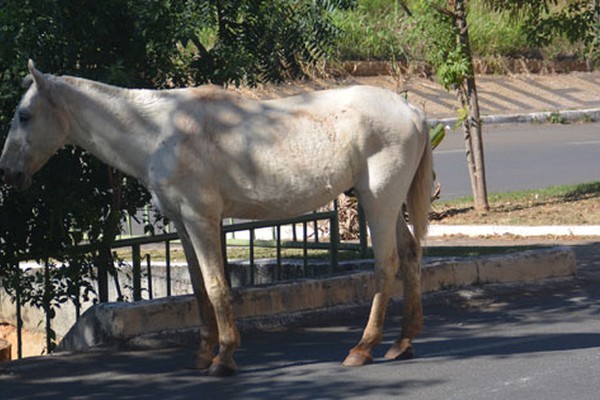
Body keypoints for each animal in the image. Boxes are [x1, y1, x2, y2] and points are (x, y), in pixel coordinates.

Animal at [0, 61, 432, 376]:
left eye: (24, 115)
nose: (8, 173)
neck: (159, 131)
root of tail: (411, 110)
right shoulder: (183, 223)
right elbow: (197, 288)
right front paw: (203, 353)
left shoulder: (202, 219)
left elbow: (216, 285)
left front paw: (224, 357)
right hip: (385, 202)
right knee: (410, 254)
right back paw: (402, 343)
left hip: (379, 199)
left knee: (386, 264)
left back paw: (364, 347)